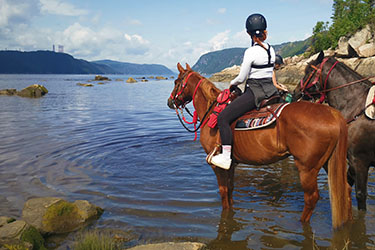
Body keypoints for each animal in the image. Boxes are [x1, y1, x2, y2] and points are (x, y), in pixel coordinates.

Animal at [169, 62, 354, 229]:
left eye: (177, 82)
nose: (170, 101)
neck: (212, 111)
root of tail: (333, 114)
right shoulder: (231, 164)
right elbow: (230, 190)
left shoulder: (217, 165)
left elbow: (223, 192)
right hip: (327, 163)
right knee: (344, 189)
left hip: (307, 168)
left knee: (312, 198)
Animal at [294, 50, 375, 211]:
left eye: (308, 72)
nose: (295, 92)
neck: (357, 107)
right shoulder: (353, 162)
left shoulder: (360, 161)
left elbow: (360, 195)